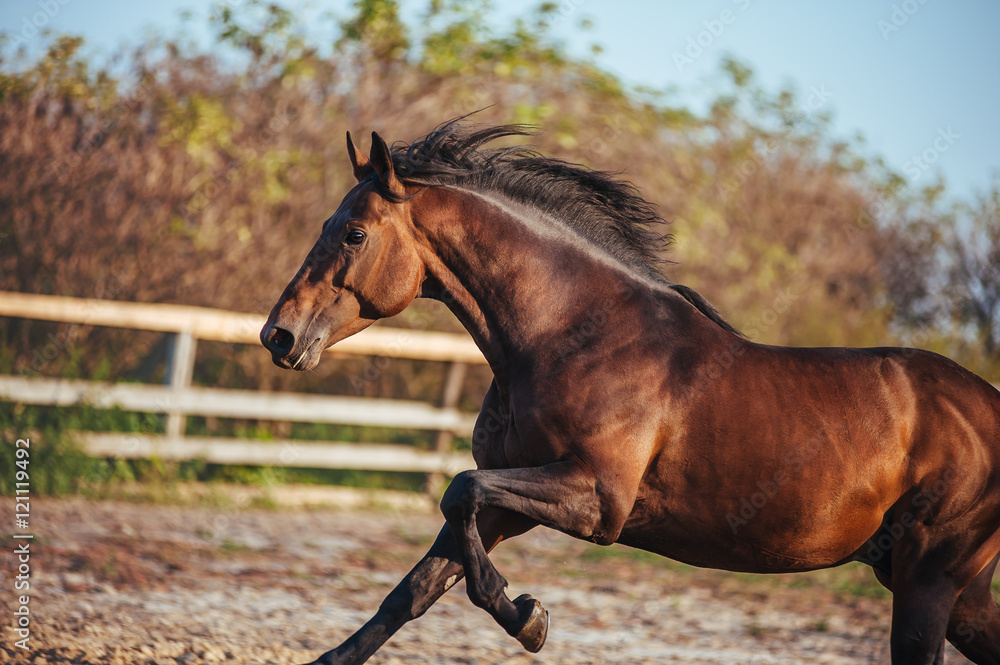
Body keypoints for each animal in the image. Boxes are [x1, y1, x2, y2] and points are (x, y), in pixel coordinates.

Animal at [260, 121, 1000, 665]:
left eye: (354, 233)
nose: (278, 335)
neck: (576, 333)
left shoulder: (596, 499)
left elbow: (459, 490)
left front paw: (528, 618)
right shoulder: (515, 499)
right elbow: (416, 585)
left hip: (928, 579)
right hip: (947, 587)